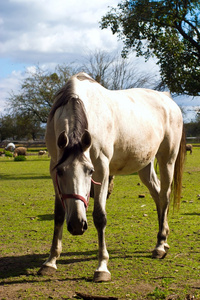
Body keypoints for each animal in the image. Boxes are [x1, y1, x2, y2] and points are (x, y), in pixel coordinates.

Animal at [38, 72, 185, 282]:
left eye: (90, 171)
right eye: (60, 172)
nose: (77, 225)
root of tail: (167, 98)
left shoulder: (102, 169)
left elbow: (100, 217)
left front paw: (102, 267)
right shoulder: (53, 167)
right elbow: (58, 214)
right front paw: (50, 262)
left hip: (167, 160)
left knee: (164, 196)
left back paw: (159, 246)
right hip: (145, 165)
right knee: (157, 195)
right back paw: (162, 241)